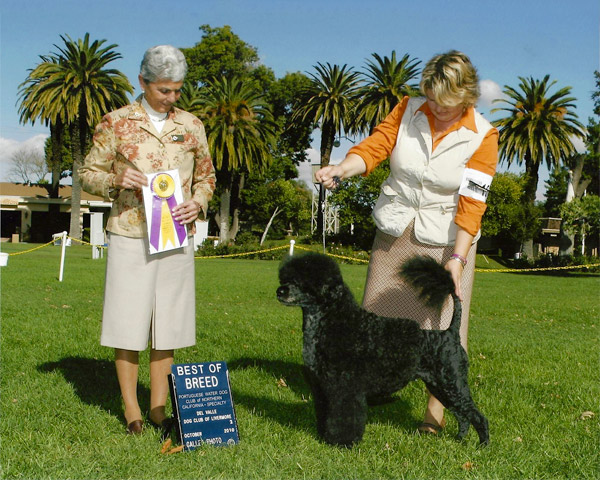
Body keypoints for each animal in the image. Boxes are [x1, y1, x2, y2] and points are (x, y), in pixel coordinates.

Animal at [276, 253, 488, 448]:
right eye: (286, 277)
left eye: (305, 280)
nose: (280, 291)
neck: (333, 321)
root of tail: (450, 333)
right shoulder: (322, 387)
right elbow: (325, 414)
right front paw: (324, 437)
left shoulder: (345, 388)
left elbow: (344, 417)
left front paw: (343, 443)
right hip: (441, 387)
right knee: (463, 416)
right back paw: (460, 439)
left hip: (452, 383)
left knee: (477, 416)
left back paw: (483, 445)